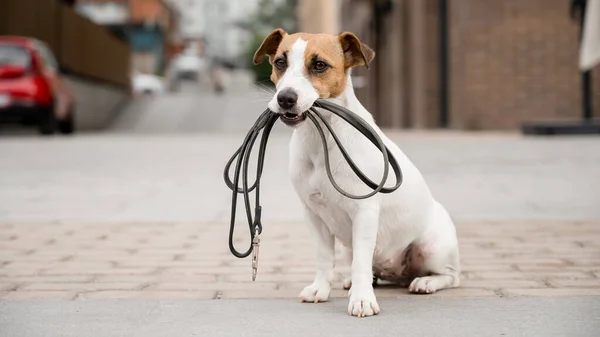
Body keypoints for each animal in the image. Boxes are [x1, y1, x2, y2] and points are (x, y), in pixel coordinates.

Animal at [253, 29, 460, 318]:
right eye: (280, 62)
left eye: (319, 65)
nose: (285, 98)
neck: (322, 139)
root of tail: (398, 273)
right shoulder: (313, 213)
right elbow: (324, 257)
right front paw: (320, 289)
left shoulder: (364, 212)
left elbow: (362, 260)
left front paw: (362, 300)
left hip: (432, 246)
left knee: (450, 276)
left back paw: (426, 282)